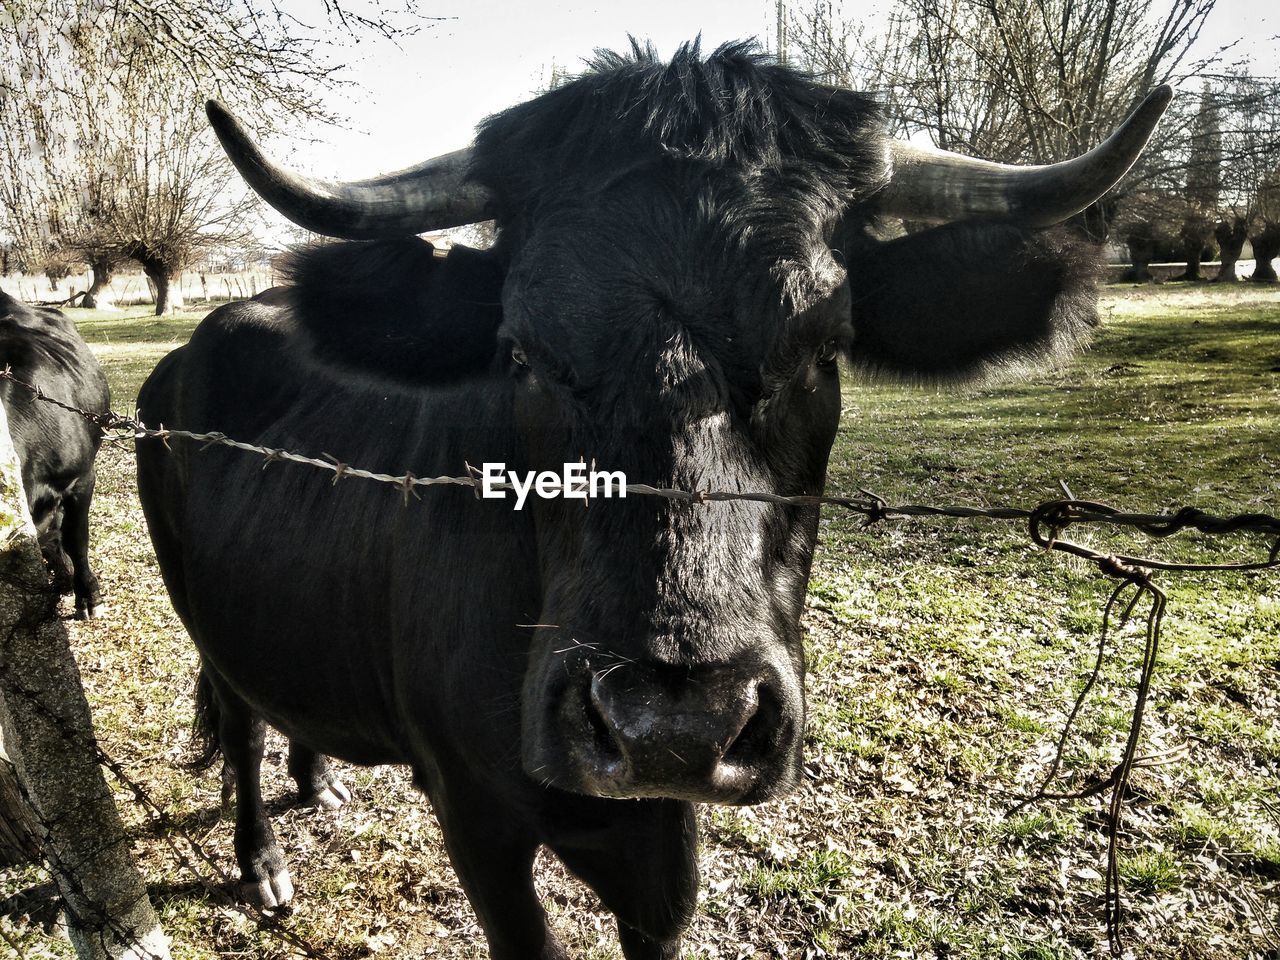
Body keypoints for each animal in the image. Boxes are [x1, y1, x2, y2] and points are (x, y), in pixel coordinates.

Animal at [135, 41, 1167, 960]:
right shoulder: (475, 817)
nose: (672, 727)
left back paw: (319, 781)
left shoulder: (664, 847)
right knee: (238, 721)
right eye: (521, 349)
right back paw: (262, 860)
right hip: (200, 614)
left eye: (824, 344)